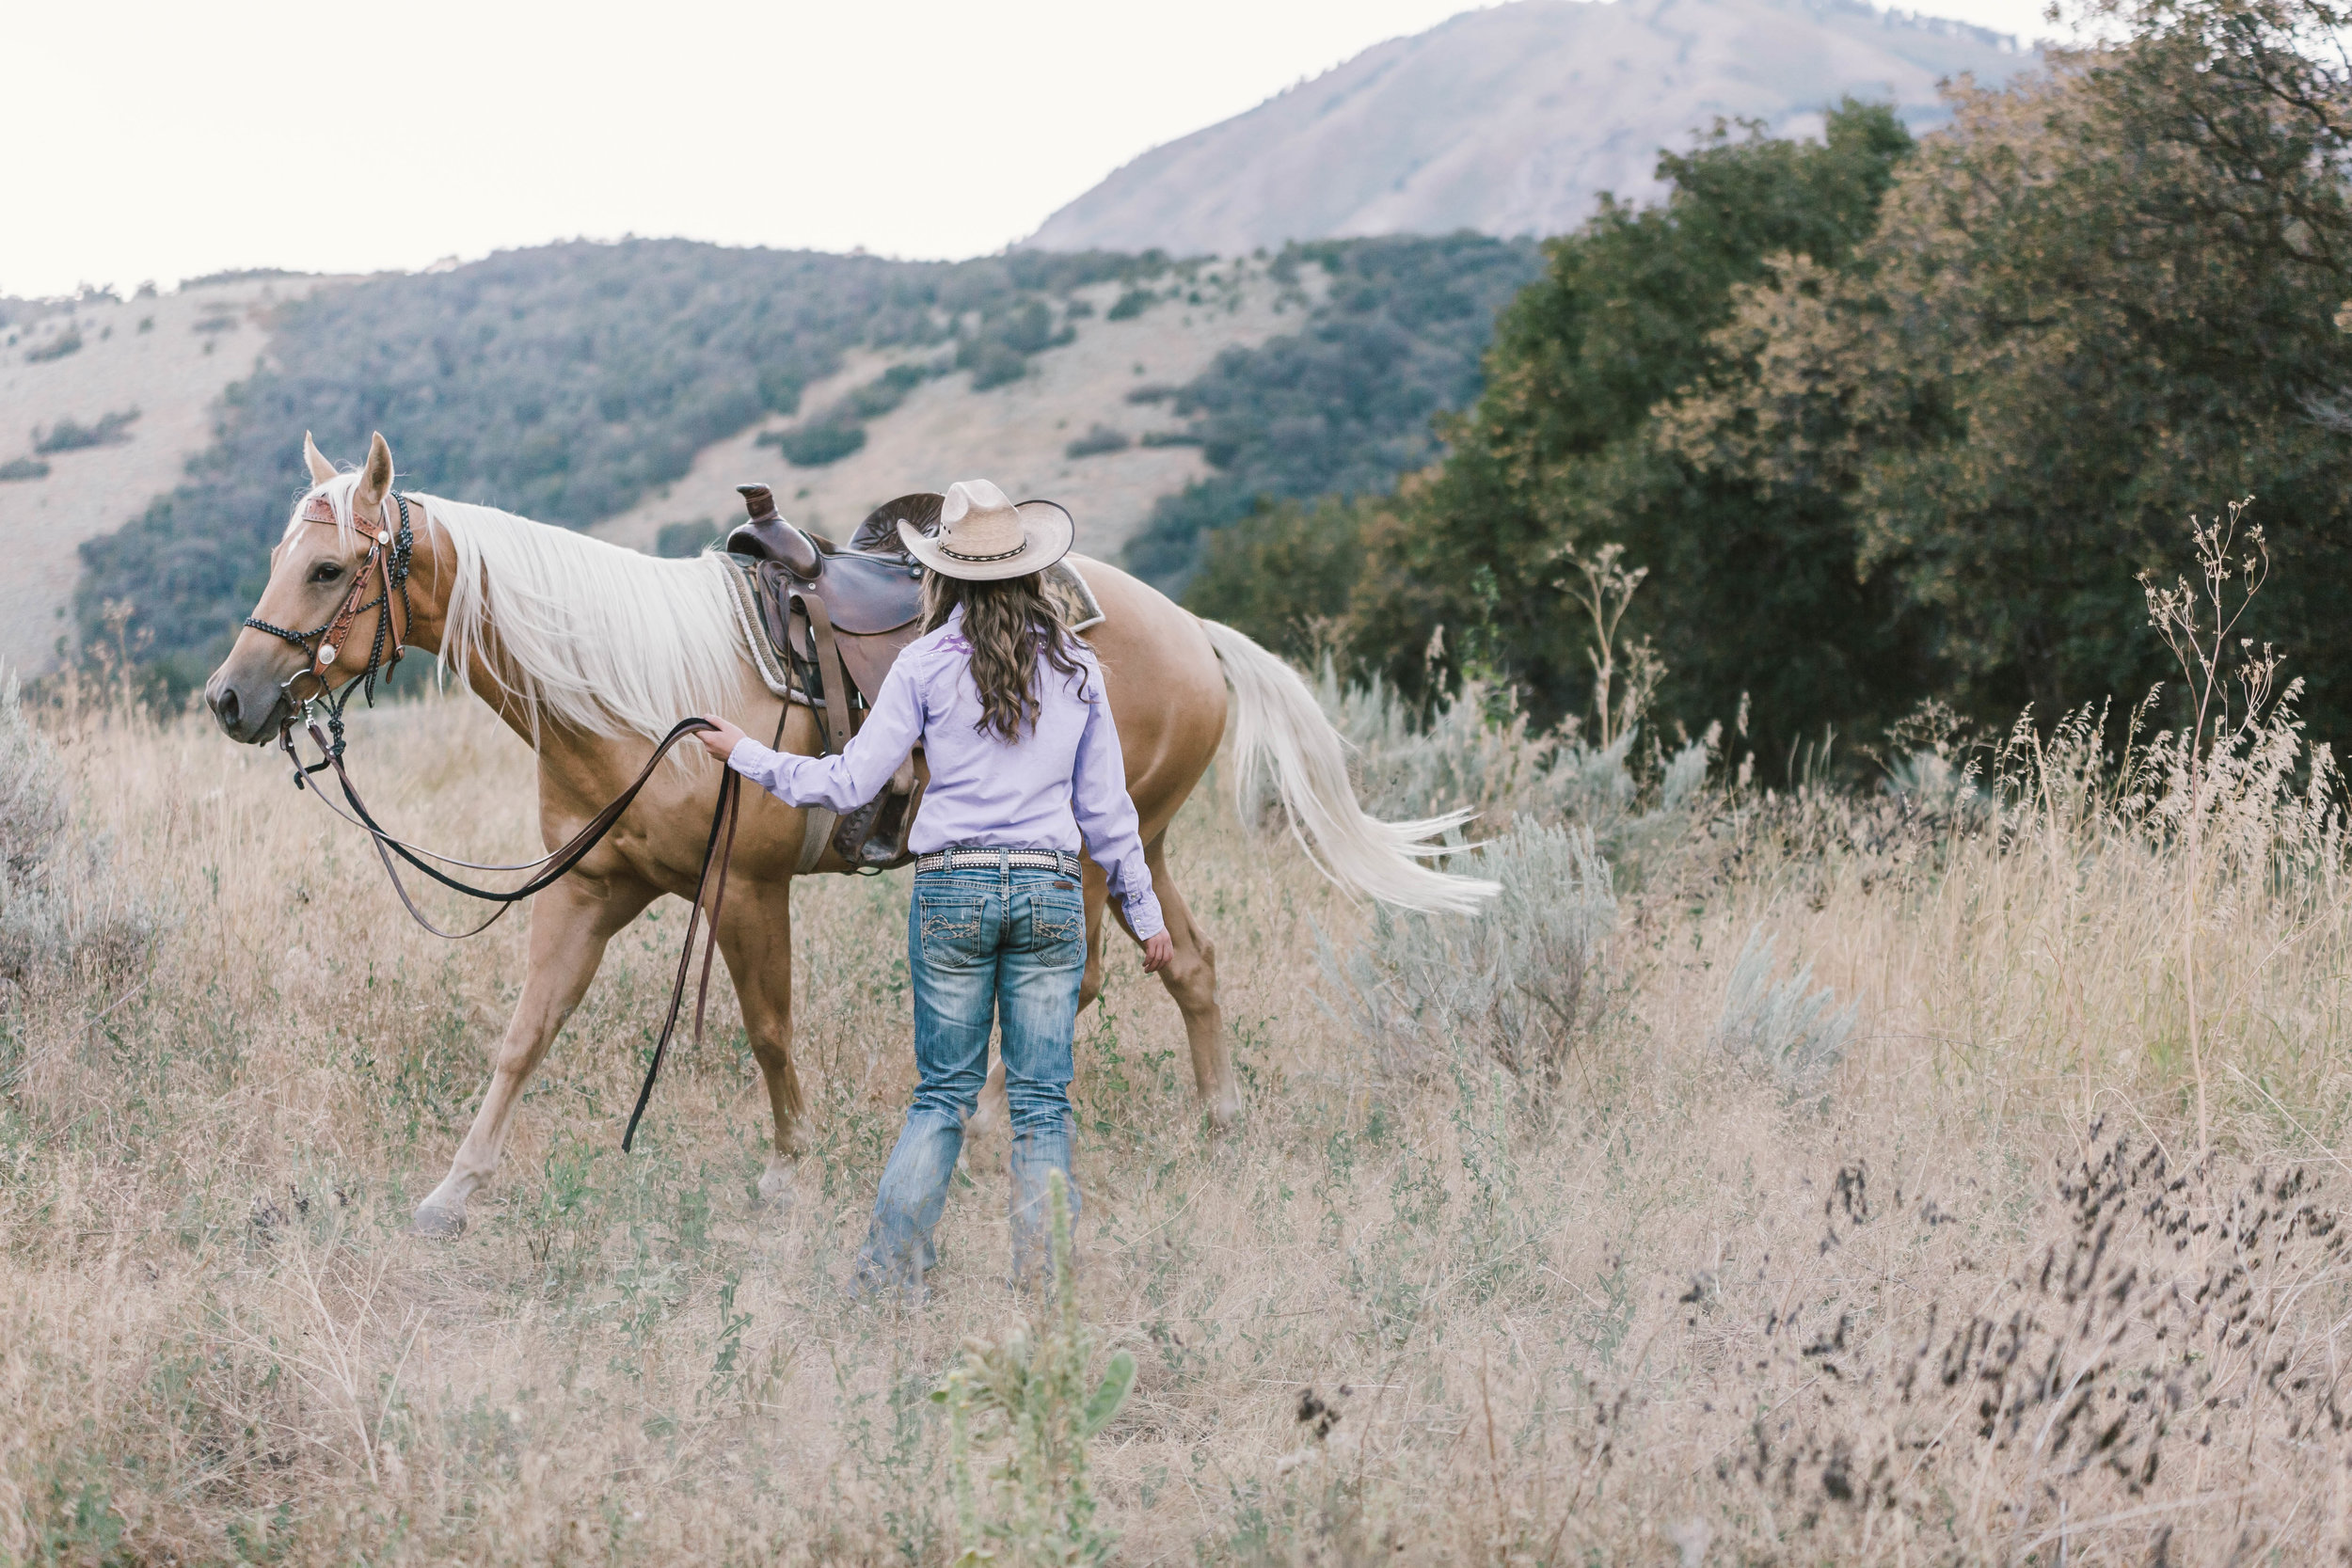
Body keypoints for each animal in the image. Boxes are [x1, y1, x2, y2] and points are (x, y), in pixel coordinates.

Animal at [202, 432, 1486, 1241]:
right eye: (278, 558)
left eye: (328, 565)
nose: (231, 698)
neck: (629, 693)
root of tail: (1193, 629)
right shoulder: (589, 890)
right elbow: (523, 1040)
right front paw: (449, 1196)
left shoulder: (745, 889)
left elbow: (770, 1034)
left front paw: (785, 1174)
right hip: (1137, 845)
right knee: (1189, 964)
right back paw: (1206, 1120)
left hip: (1082, 852)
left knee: (1087, 983)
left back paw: (1014, 1126)